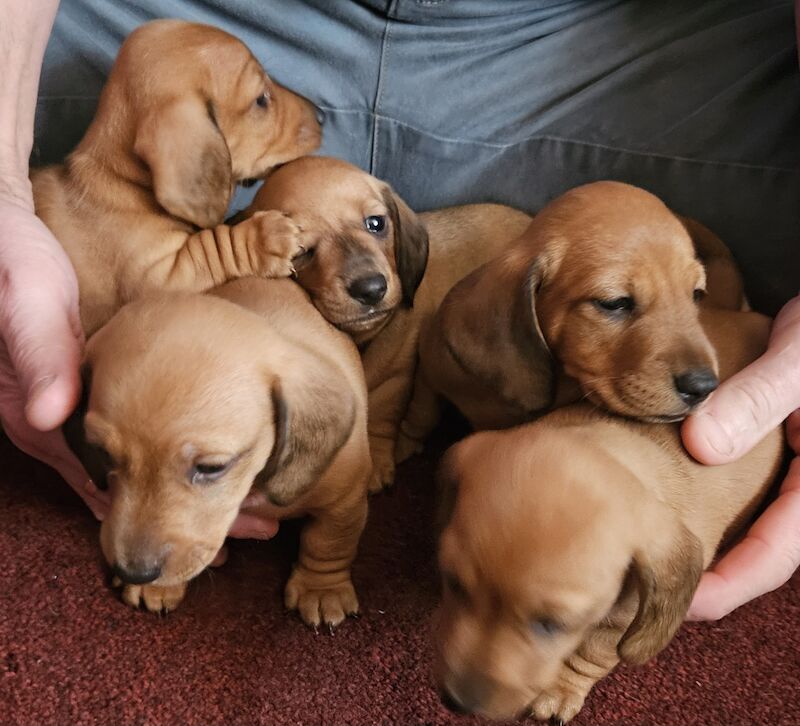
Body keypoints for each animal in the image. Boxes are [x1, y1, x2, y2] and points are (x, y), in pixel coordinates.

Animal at [33, 20, 322, 336]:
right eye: (261, 100)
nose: (322, 116)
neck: (122, 181)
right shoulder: (162, 279)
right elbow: (214, 247)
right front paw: (264, 237)